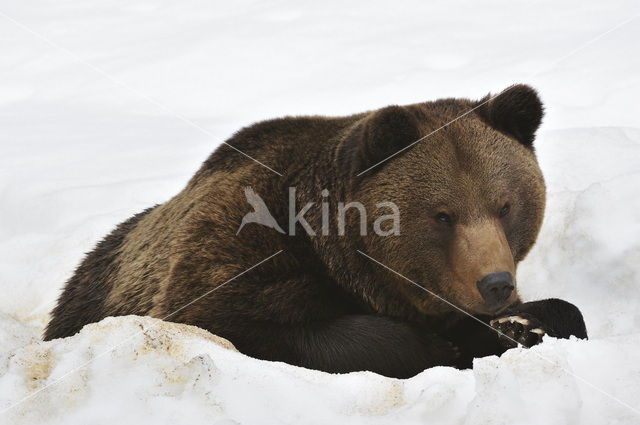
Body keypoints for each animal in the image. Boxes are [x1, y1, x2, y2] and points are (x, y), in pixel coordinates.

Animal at [43, 83, 584, 378]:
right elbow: (240, 322)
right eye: (442, 214)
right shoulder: (236, 250)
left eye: (506, 205)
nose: (496, 284)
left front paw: (527, 324)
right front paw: (436, 347)